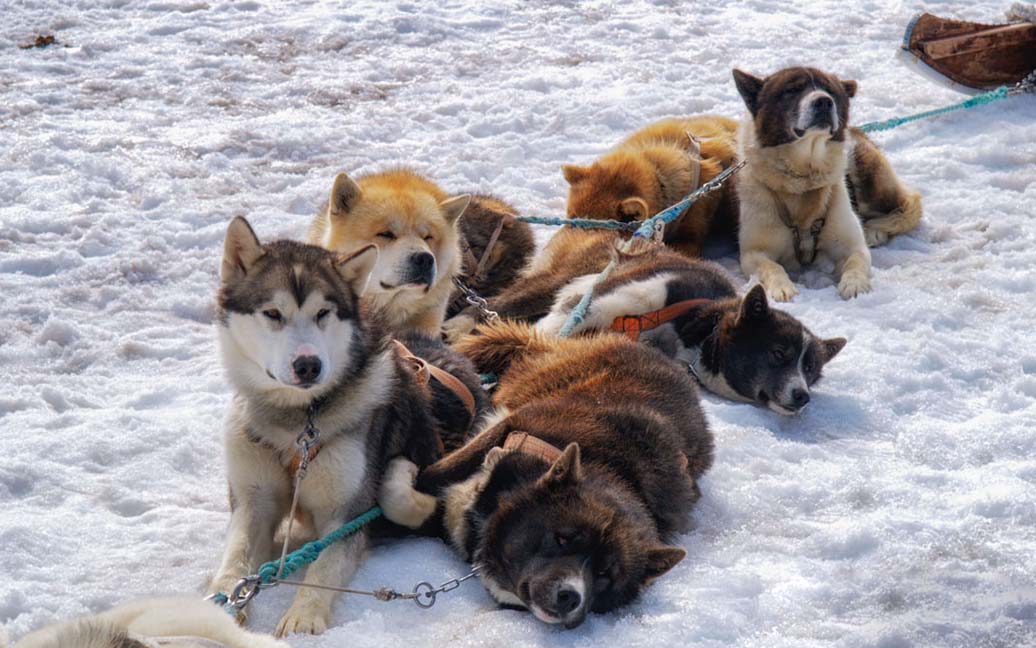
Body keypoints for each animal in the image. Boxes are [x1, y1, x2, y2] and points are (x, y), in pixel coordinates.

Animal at [379, 323, 712, 626]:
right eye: (563, 538)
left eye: (604, 573)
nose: (571, 596)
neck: (611, 467)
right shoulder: (512, 425)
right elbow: (427, 481)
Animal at [733, 66, 919, 302]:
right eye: (792, 90)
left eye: (830, 90)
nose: (823, 101)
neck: (803, 181)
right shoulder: (753, 253)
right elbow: (772, 266)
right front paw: (782, 287)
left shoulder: (852, 245)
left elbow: (855, 260)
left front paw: (854, 284)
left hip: (869, 179)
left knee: (909, 204)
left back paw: (875, 231)